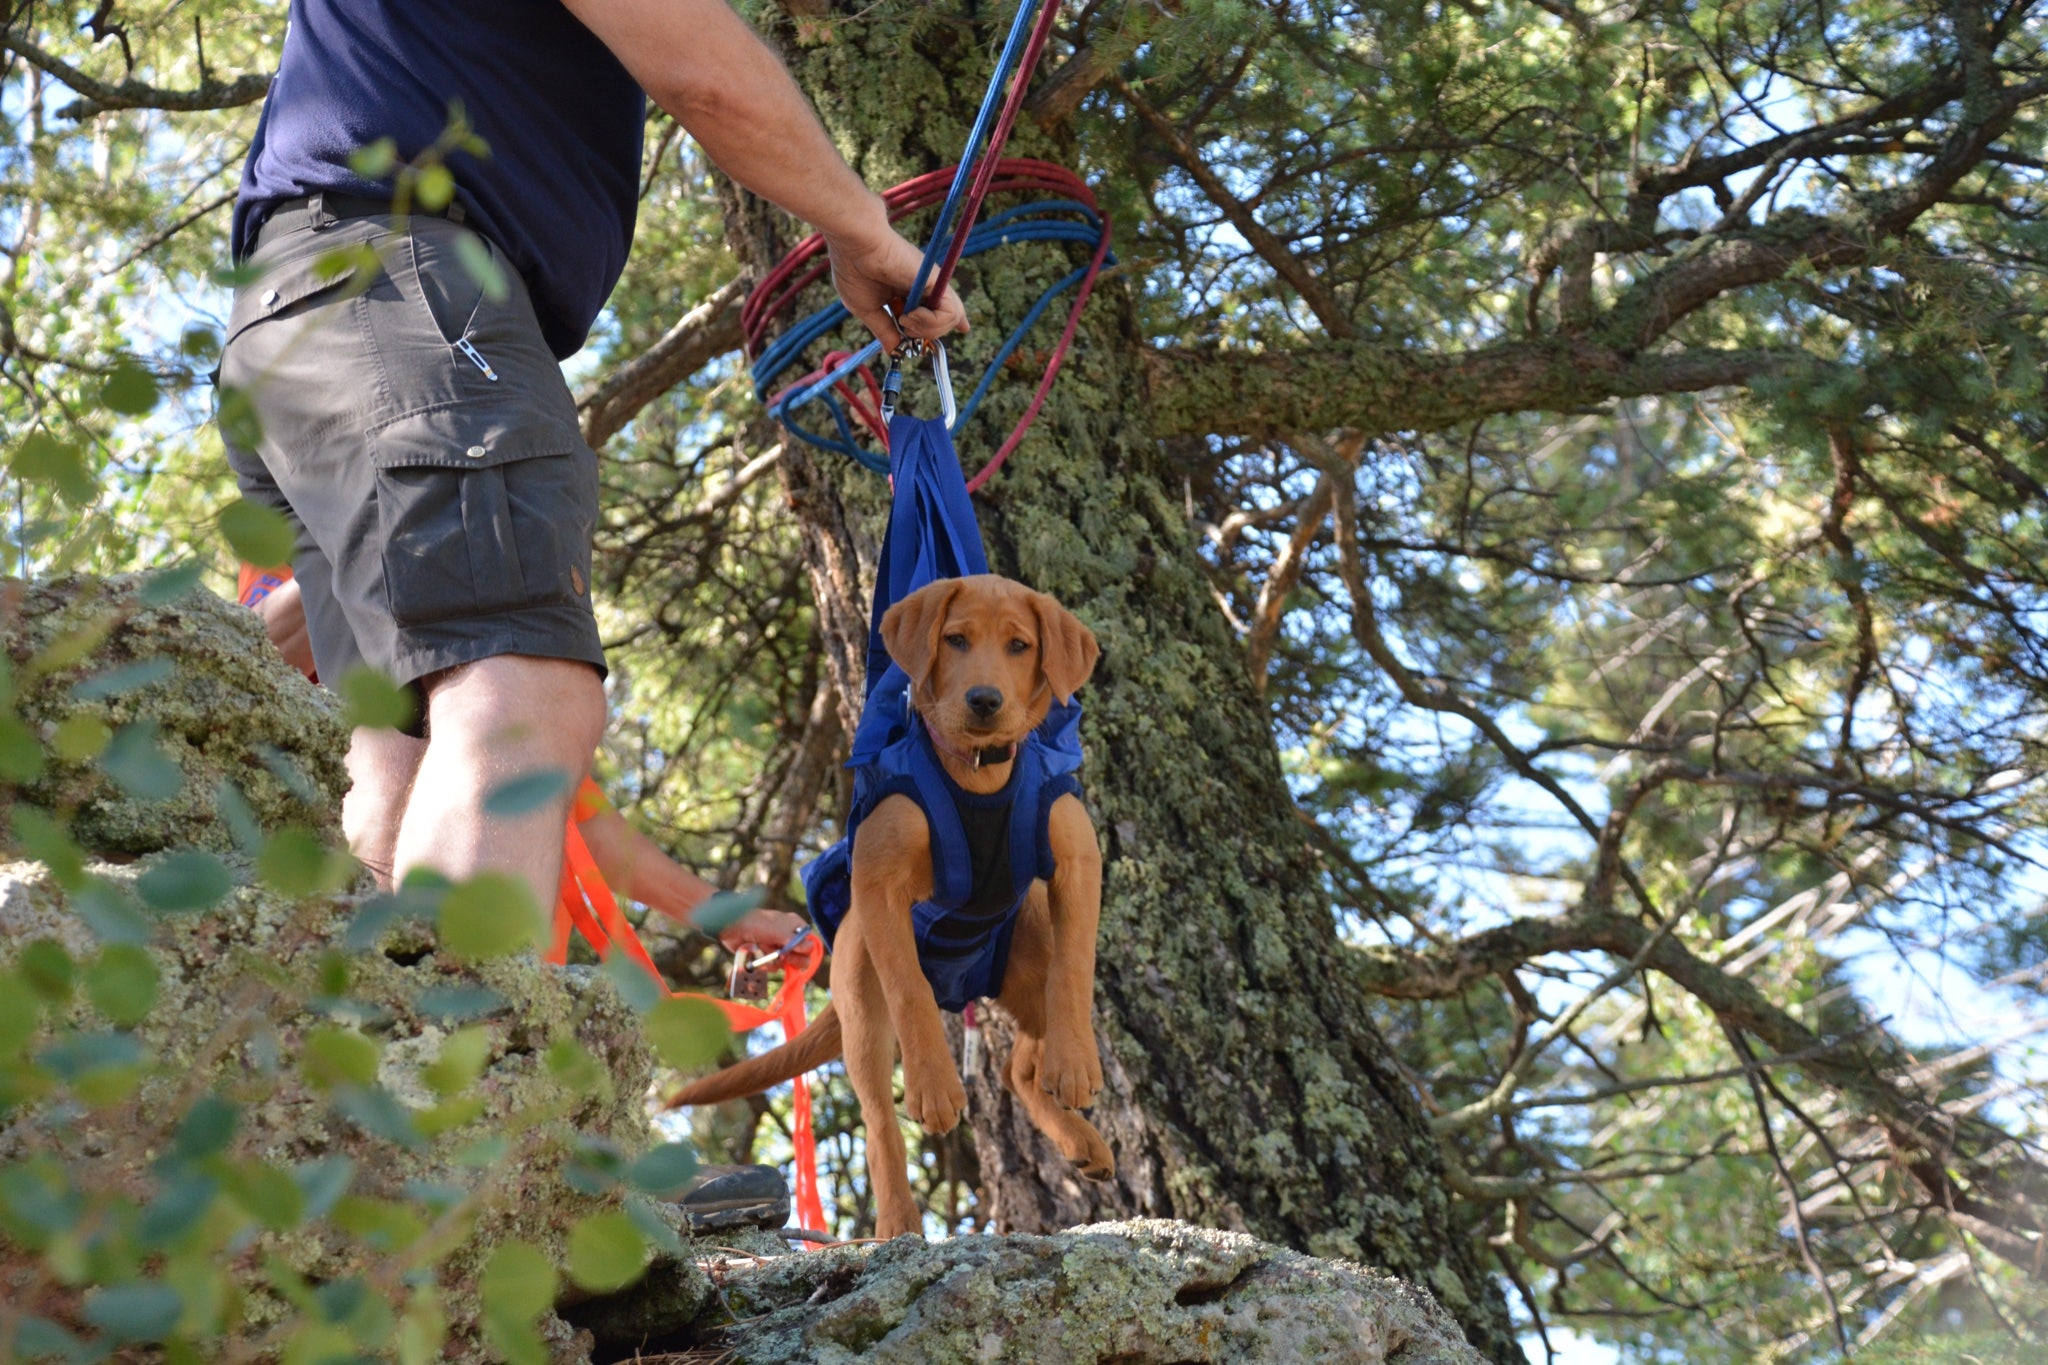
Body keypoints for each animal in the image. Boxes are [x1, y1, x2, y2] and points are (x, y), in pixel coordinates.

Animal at [675, 573, 1114, 1236]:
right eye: (956, 639)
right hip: (861, 999)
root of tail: (966, 983)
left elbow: (1076, 969)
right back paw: (899, 1221)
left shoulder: (1077, 864)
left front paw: (1077, 1060)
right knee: (882, 1120)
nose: (984, 700)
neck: (977, 775)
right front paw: (933, 1083)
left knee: (1019, 1065)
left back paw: (1079, 1136)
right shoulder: (879, 889)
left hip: (1027, 958)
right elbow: (910, 990)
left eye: (1020, 646)